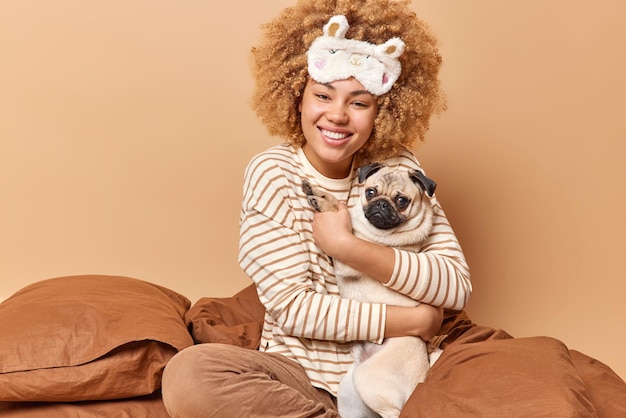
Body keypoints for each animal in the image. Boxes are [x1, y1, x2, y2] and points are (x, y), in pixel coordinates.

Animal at [300, 163, 436, 418]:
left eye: (401, 201)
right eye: (371, 192)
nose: (381, 204)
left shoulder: (345, 254)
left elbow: (337, 213)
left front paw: (323, 204)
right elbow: (339, 203)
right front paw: (317, 192)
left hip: (369, 379)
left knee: (394, 412)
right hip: (350, 391)